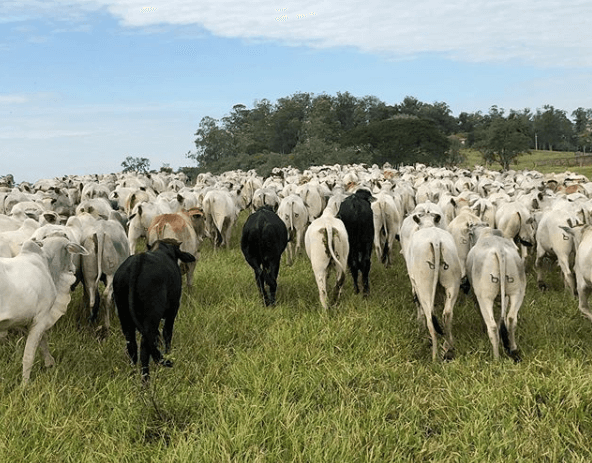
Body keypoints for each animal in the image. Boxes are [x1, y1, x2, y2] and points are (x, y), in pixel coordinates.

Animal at [0, 237, 88, 382]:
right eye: (69, 251)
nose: (73, 268)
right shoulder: (41, 317)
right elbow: (29, 356)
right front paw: (25, 384)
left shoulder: (26, 320)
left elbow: (43, 341)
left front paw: (50, 362)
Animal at [111, 239, 194, 380]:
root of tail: (138, 261)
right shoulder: (173, 308)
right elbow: (167, 332)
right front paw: (168, 352)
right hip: (152, 315)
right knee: (145, 346)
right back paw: (146, 380)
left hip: (124, 314)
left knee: (132, 344)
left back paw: (133, 373)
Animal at [464, 226, 524, 362]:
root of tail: (499, 249)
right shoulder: (505, 297)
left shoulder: (476, 296)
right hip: (517, 292)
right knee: (511, 319)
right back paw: (513, 348)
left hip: (485, 297)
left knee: (492, 326)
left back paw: (496, 358)